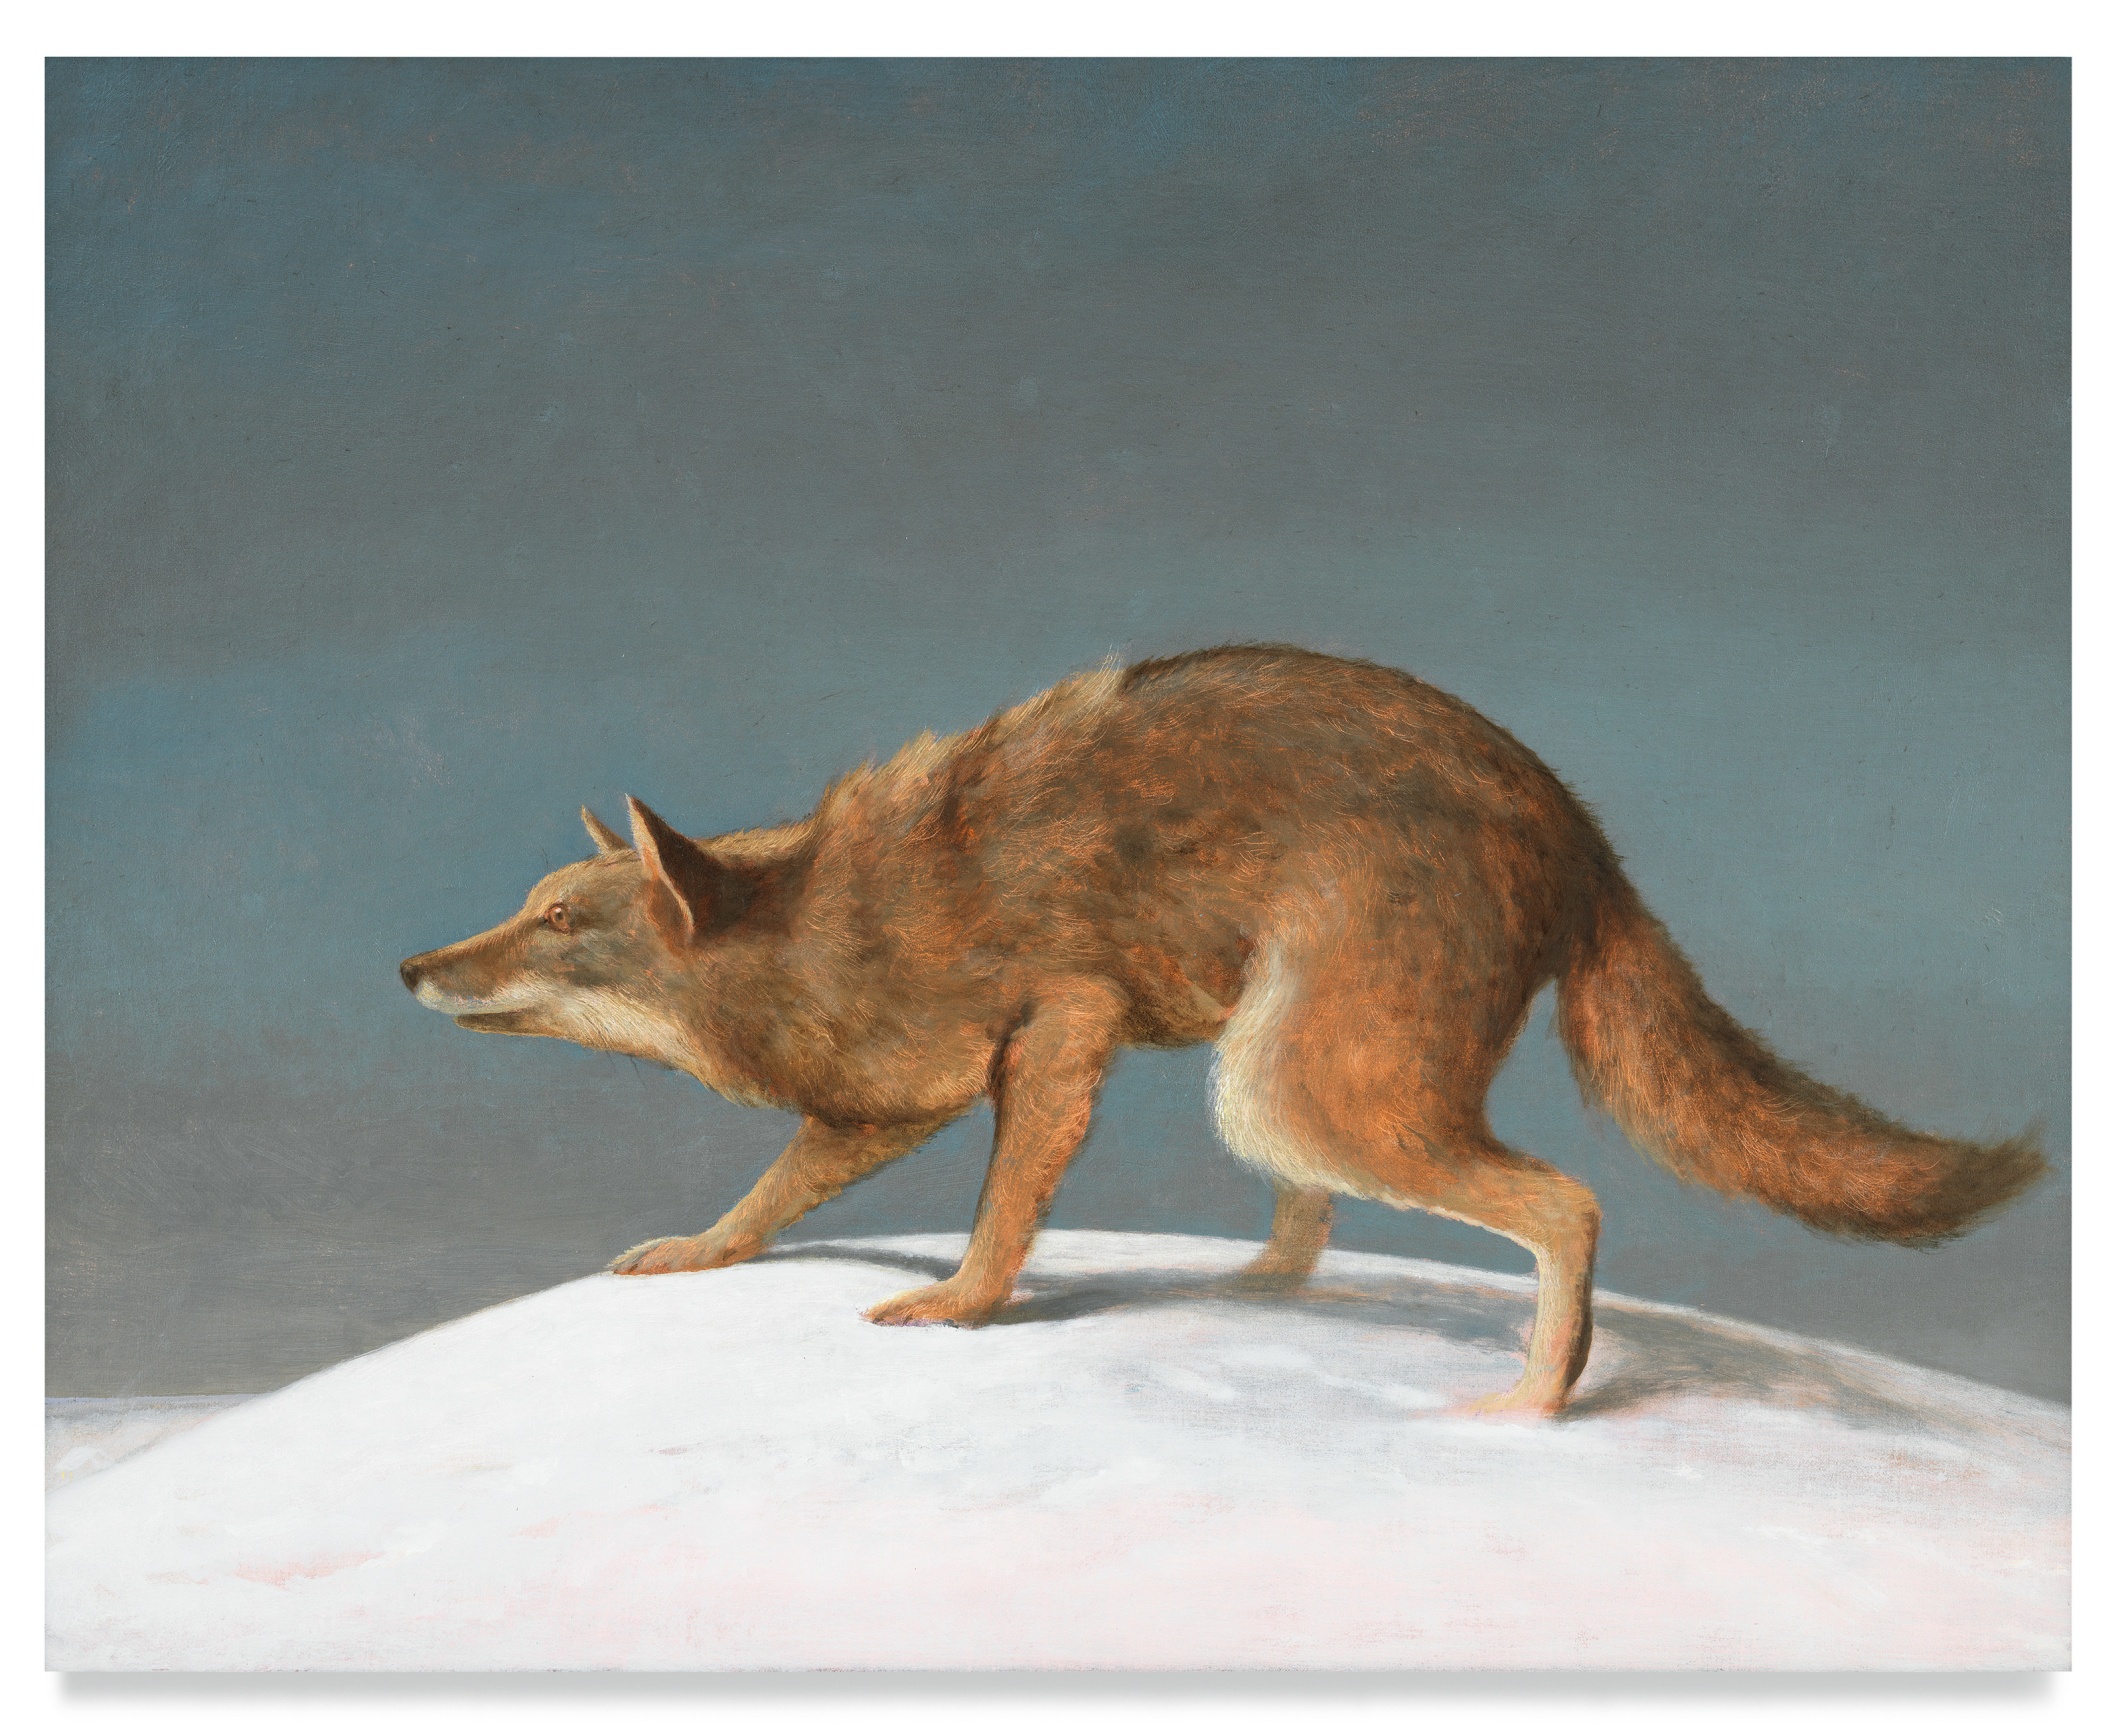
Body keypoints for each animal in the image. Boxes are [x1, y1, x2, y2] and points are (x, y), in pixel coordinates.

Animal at [399, 646, 2044, 1416]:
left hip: (1292, 1084)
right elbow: (765, 1201)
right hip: (1282, 1073)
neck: (822, 917)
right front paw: (699, 1250)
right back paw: (1261, 1283)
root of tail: (1579, 828)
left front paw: (965, 1305)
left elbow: (1000, 1211)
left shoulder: (1056, 1028)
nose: (410, 965)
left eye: (560, 922)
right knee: (1320, 1228)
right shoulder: (889, 1099)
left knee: (1566, 1203)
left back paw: (1534, 1398)